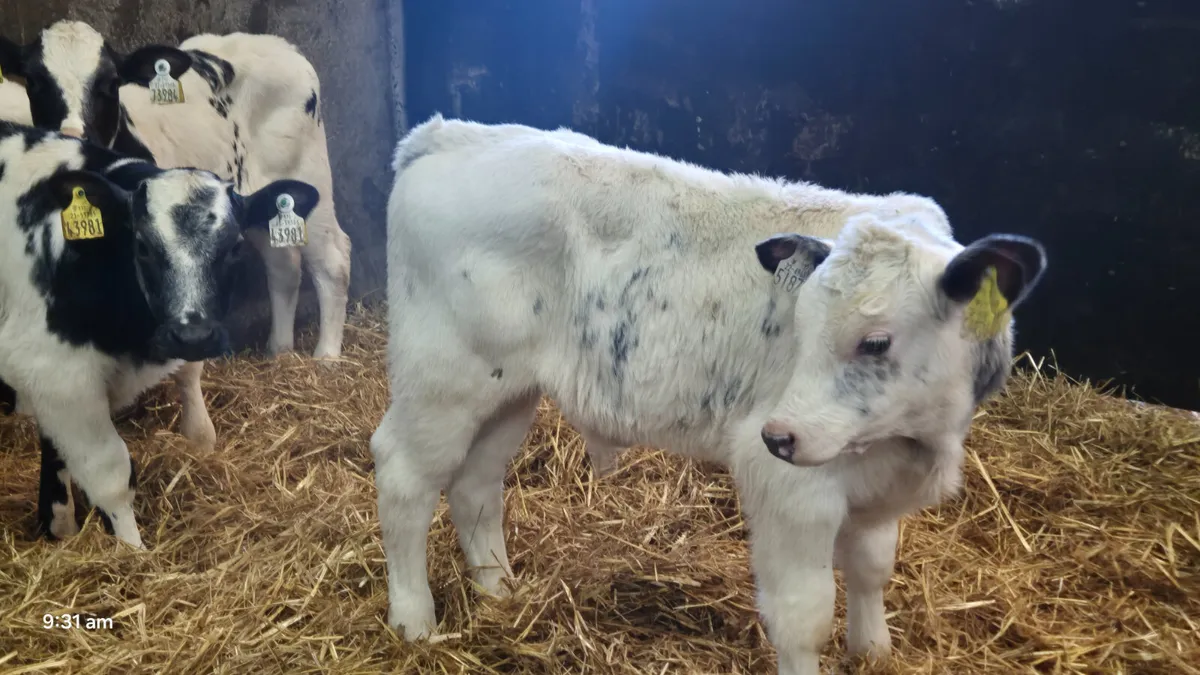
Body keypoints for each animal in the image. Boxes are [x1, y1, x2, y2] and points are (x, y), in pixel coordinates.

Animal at [0, 20, 351, 361]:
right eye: (34, 81)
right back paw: (279, 351)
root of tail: (282, 46)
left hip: (309, 177)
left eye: (111, 83)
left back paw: (326, 357)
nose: (73, 135)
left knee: (333, 260)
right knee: (283, 267)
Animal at [0, 119, 319, 547]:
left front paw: (59, 526)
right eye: (143, 246)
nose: (193, 336)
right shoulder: (58, 372)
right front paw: (131, 551)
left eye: (235, 246)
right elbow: (110, 475)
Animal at [369, 115, 1047, 674]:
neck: (914, 442)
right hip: (443, 378)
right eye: (800, 326)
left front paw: (874, 652)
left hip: (507, 392)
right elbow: (804, 617)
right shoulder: (789, 486)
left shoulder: (878, 489)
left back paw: (499, 591)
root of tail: (451, 134)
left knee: (475, 485)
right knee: (404, 475)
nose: (781, 435)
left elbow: (872, 569)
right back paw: (414, 621)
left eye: (876, 341)